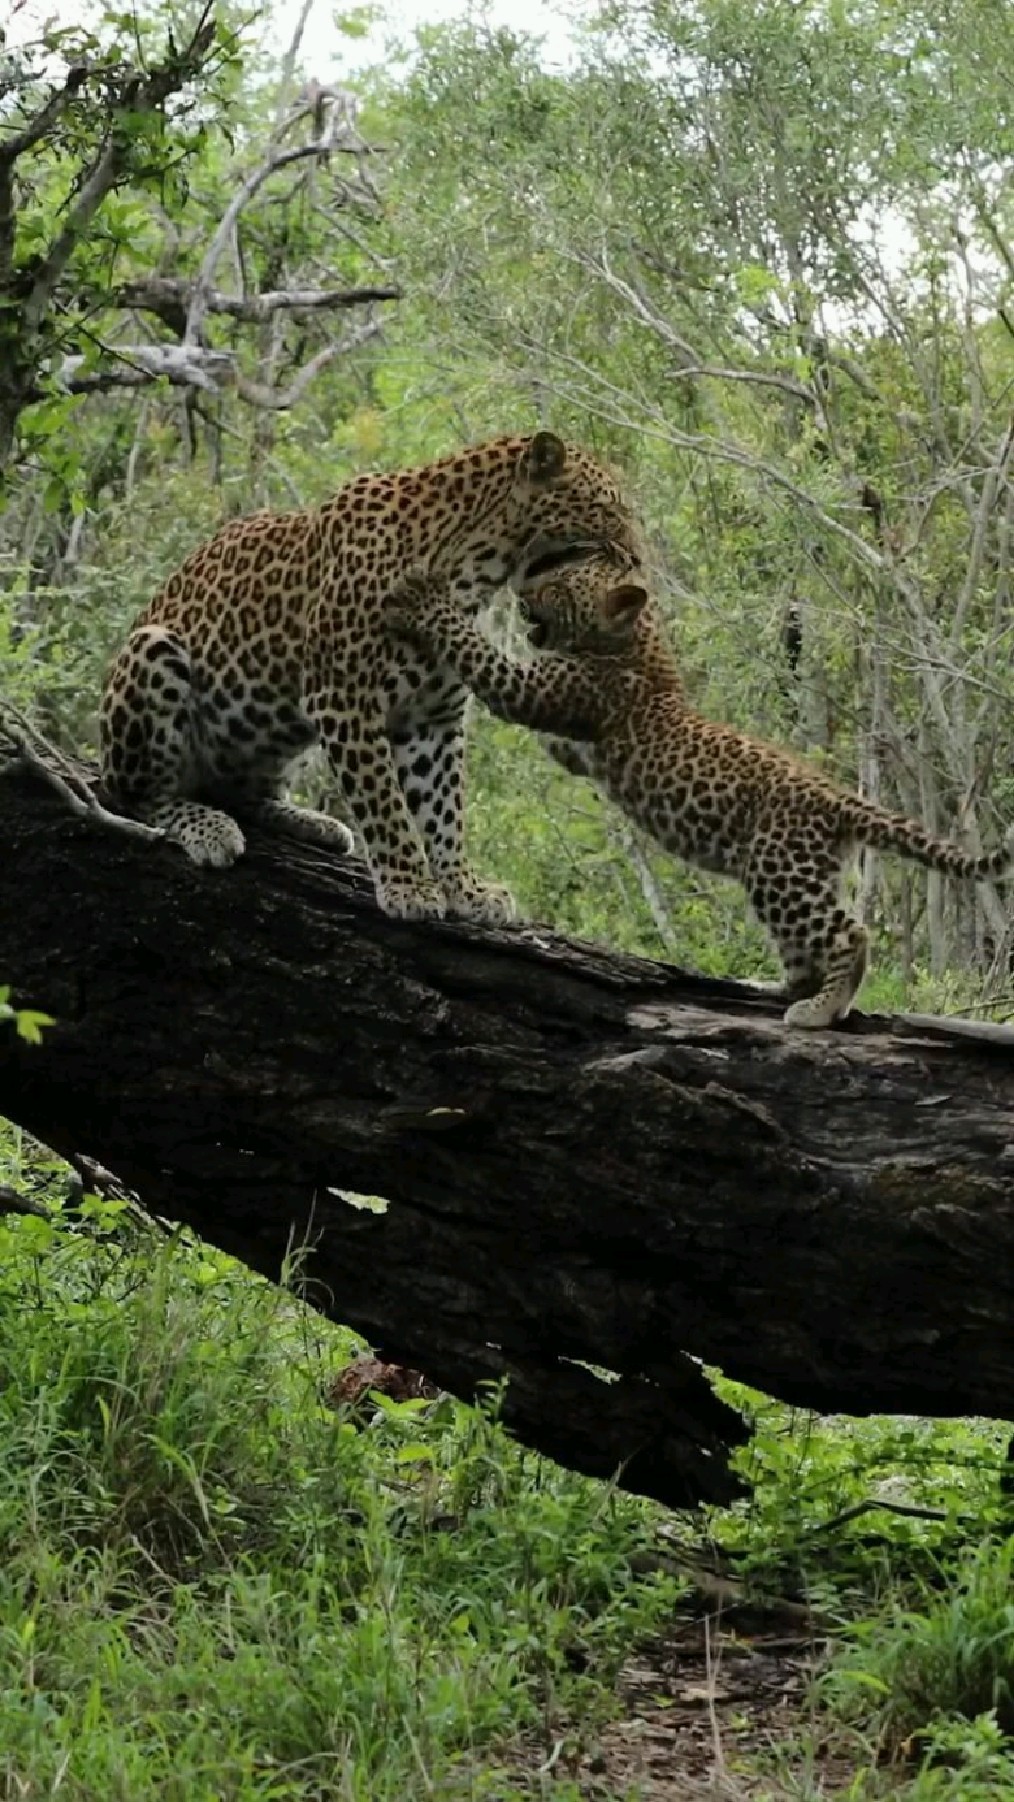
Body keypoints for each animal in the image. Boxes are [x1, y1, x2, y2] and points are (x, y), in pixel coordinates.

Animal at [103, 428, 641, 922]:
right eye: (608, 506)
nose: (637, 557)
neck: (473, 566)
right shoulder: (345, 699)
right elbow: (386, 804)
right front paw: (410, 887)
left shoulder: (432, 718)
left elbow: (445, 809)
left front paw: (465, 889)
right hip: (153, 651)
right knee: (140, 797)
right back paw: (208, 827)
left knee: (247, 794)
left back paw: (312, 823)